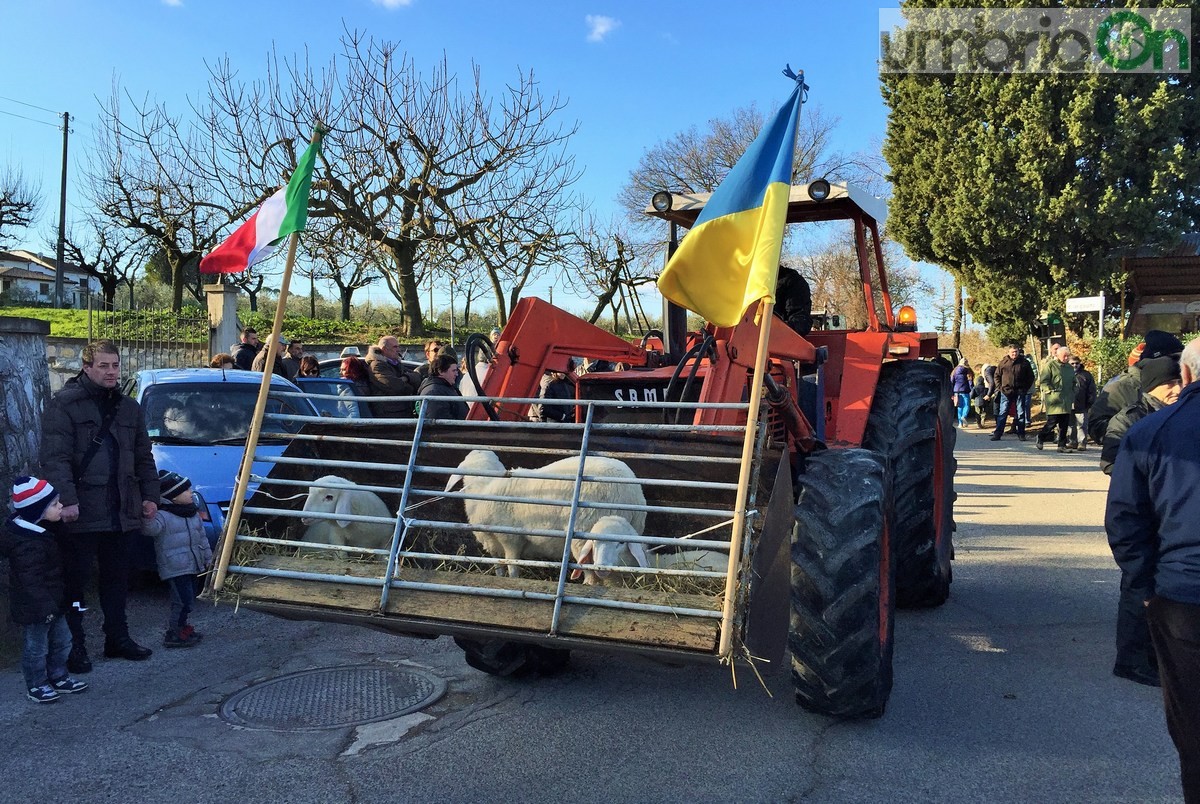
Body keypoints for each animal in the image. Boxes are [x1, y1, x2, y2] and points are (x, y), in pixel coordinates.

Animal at [444, 451, 648, 576]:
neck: (483, 487)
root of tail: (632, 492)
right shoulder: (492, 544)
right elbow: (498, 566)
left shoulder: (510, 539)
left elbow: (512, 566)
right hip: (633, 530)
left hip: (586, 536)